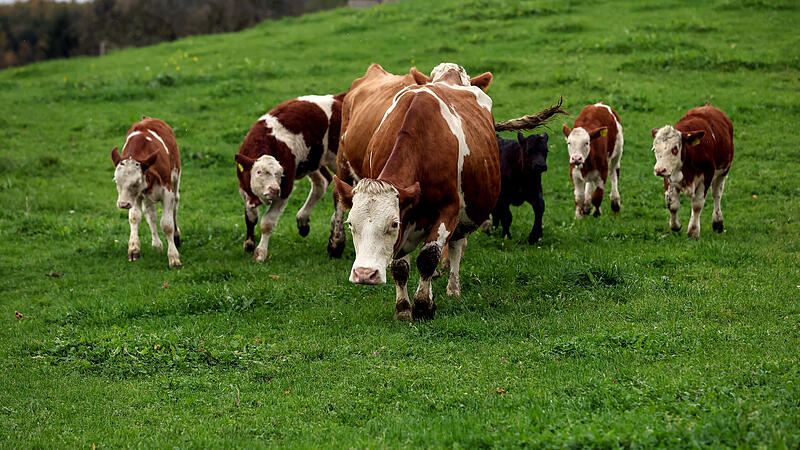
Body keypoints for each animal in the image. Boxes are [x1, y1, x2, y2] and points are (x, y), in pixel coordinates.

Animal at [111, 118, 183, 268]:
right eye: (116, 180)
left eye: (137, 181)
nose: (123, 204)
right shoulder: (136, 196)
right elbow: (134, 217)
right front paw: (134, 249)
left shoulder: (168, 192)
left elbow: (167, 225)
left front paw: (173, 257)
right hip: (146, 198)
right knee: (151, 215)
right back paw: (156, 243)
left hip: (176, 178)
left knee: (175, 208)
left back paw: (176, 237)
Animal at [233, 93, 342, 262]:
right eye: (259, 172)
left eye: (280, 174)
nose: (274, 189)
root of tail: (337, 98)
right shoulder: (244, 189)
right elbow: (251, 218)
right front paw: (249, 245)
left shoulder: (285, 190)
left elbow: (267, 223)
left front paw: (260, 254)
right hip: (312, 160)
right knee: (322, 182)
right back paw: (303, 222)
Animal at [330, 64, 494, 324]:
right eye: (351, 224)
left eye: (393, 223)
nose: (365, 274)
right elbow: (399, 266)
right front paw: (403, 307)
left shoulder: (448, 210)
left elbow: (428, 258)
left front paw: (424, 305)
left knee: (457, 245)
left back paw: (453, 288)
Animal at [652, 101, 736, 236]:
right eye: (655, 149)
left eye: (675, 148)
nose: (659, 170)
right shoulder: (669, 176)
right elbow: (672, 204)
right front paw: (675, 225)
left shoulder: (706, 176)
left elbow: (697, 205)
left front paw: (693, 231)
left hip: (723, 172)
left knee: (717, 194)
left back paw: (717, 222)